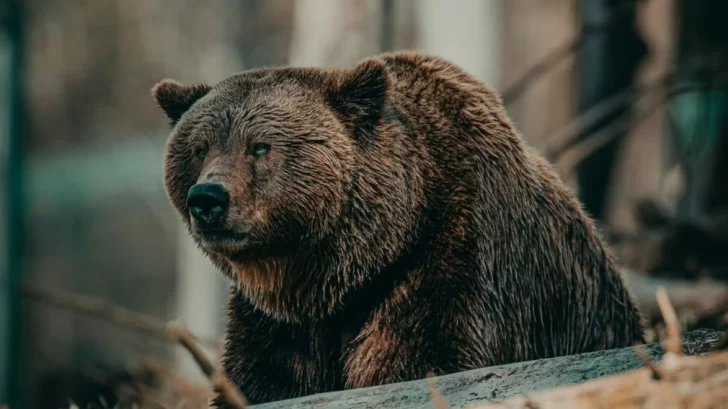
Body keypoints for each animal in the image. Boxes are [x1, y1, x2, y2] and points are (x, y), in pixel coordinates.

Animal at [152, 51, 644, 404]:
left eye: (260, 147)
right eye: (199, 148)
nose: (207, 199)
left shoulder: (453, 263)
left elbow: (421, 360)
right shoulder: (278, 324)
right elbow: (260, 379)